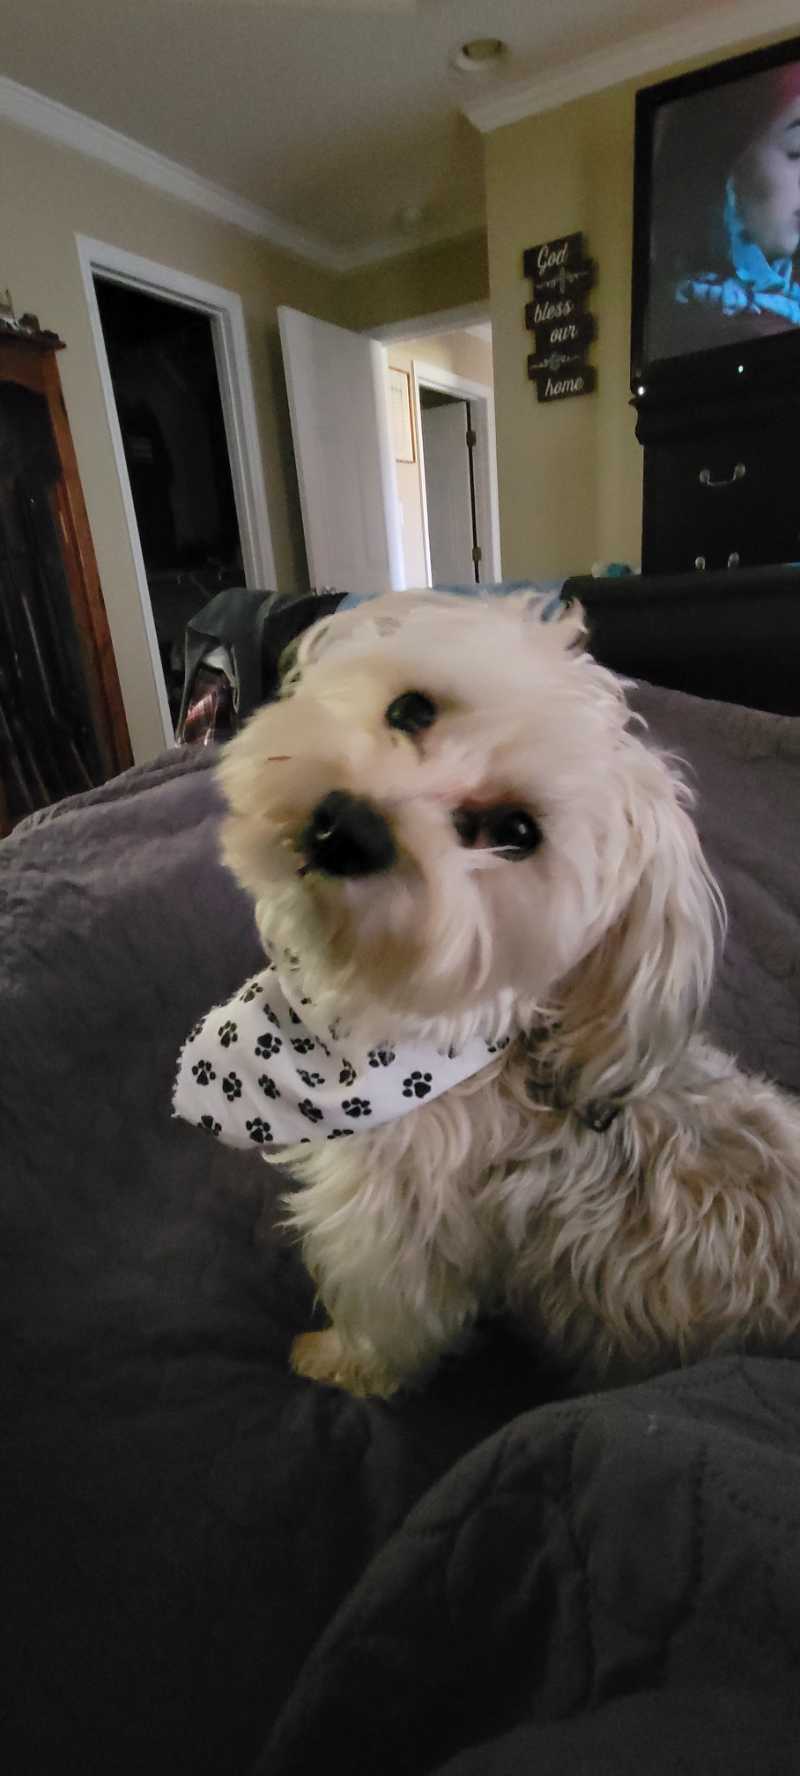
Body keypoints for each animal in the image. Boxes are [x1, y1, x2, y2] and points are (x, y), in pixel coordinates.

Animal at [216, 589, 800, 1397]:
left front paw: (337, 1363)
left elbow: (390, 1323)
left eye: (516, 832)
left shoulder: (389, 1237)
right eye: (412, 709)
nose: (349, 827)